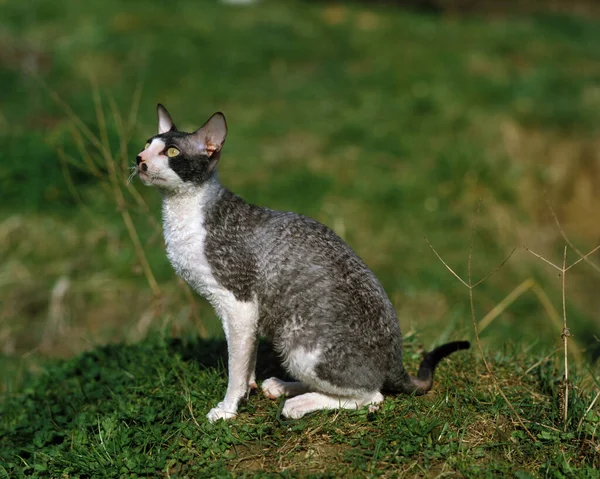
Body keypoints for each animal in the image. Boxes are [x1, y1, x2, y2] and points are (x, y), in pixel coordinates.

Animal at [136, 106, 468, 424]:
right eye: (147, 144)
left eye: (172, 153)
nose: (139, 160)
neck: (182, 214)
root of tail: (395, 363)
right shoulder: (243, 312)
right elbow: (247, 357)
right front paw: (249, 389)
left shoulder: (239, 302)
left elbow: (236, 364)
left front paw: (228, 409)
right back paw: (282, 386)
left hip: (298, 340)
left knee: (371, 396)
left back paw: (297, 404)